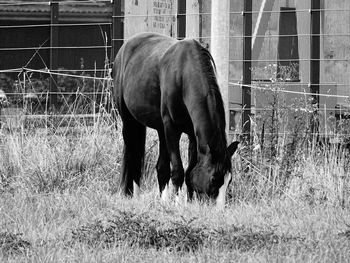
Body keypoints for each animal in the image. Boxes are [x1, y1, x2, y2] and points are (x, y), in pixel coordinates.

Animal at [113, 32, 239, 207]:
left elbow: (190, 171)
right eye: (214, 179)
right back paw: (134, 195)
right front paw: (179, 204)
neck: (183, 75)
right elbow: (178, 170)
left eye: (229, 180)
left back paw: (163, 200)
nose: (219, 209)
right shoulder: (171, 128)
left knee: (161, 166)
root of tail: (125, 46)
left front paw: (189, 201)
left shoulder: (192, 135)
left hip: (159, 129)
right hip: (129, 121)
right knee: (133, 157)